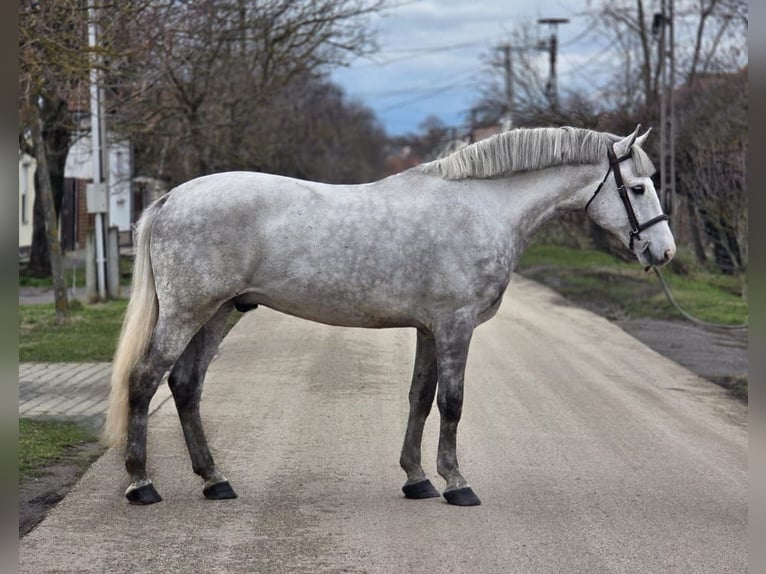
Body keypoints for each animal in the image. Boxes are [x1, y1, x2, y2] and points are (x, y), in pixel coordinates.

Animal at [103, 125, 675, 506]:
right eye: (638, 187)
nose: (664, 251)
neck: (482, 207)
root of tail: (173, 198)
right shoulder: (455, 326)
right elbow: (452, 403)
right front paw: (457, 483)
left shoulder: (428, 329)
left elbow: (420, 398)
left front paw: (417, 479)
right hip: (188, 312)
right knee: (144, 381)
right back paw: (141, 485)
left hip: (219, 312)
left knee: (186, 385)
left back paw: (215, 480)